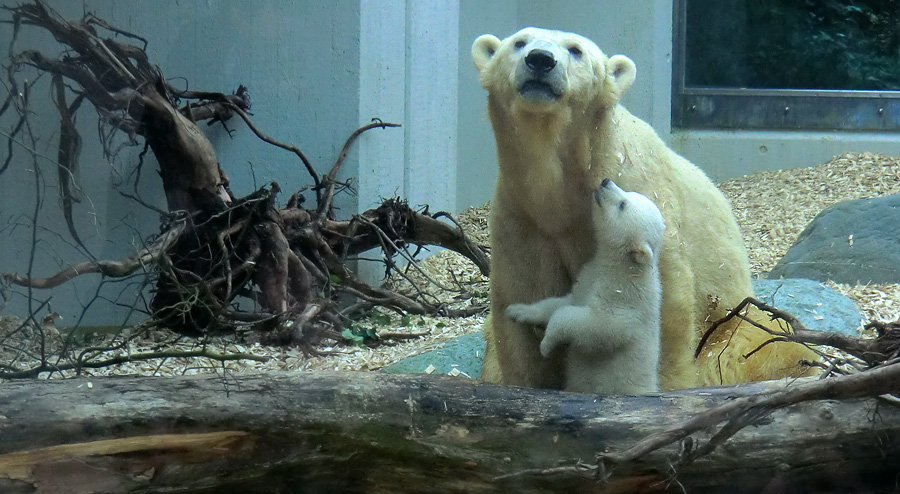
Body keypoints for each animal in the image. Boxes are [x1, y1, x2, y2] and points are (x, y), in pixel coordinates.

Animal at [510, 179, 664, 396]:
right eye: (629, 193)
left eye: (622, 205)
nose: (606, 181)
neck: (622, 266)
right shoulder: (587, 278)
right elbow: (565, 301)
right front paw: (519, 310)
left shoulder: (624, 297)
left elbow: (595, 325)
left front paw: (546, 344)